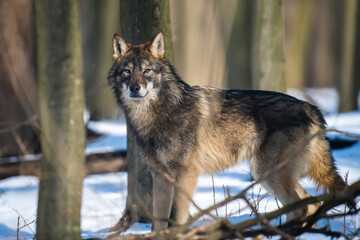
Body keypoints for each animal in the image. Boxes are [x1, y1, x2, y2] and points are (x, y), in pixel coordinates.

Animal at [107, 31, 354, 231]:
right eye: (127, 72)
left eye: (147, 71)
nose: (135, 88)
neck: (161, 113)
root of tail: (311, 108)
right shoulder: (160, 176)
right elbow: (158, 224)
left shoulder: (187, 174)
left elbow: (175, 219)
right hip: (268, 175)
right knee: (309, 204)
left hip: (266, 172)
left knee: (303, 206)